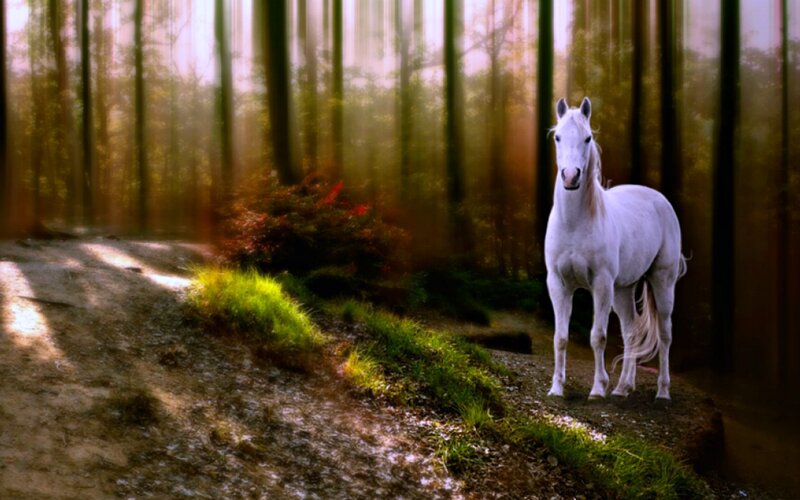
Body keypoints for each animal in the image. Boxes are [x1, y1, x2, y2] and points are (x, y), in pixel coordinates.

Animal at [544, 97, 686, 400]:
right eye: (558, 137)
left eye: (587, 138)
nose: (571, 177)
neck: (575, 223)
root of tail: (660, 200)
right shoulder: (558, 284)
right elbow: (560, 338)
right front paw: (556, 388)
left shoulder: (601, 284)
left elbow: (598, 336)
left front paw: (598, 389)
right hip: (623, 289)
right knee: (631, 331)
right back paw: (623, 388)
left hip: (662, 281)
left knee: (665, 334)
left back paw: (662, 392)